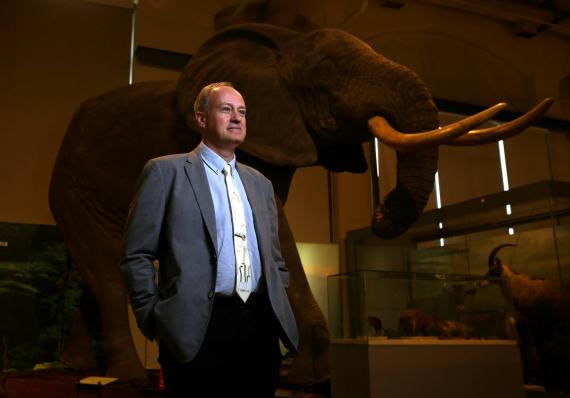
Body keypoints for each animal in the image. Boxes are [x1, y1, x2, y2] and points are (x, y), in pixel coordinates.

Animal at [50, 23, 552, 384]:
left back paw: (79, 369)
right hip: (72, 185)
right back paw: (127, 379)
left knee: (105, 268)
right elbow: (279, 231)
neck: (283, 45)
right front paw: (314, 377)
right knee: (108, 268)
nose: (381, 210)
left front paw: (310, 375)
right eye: (328, 73)